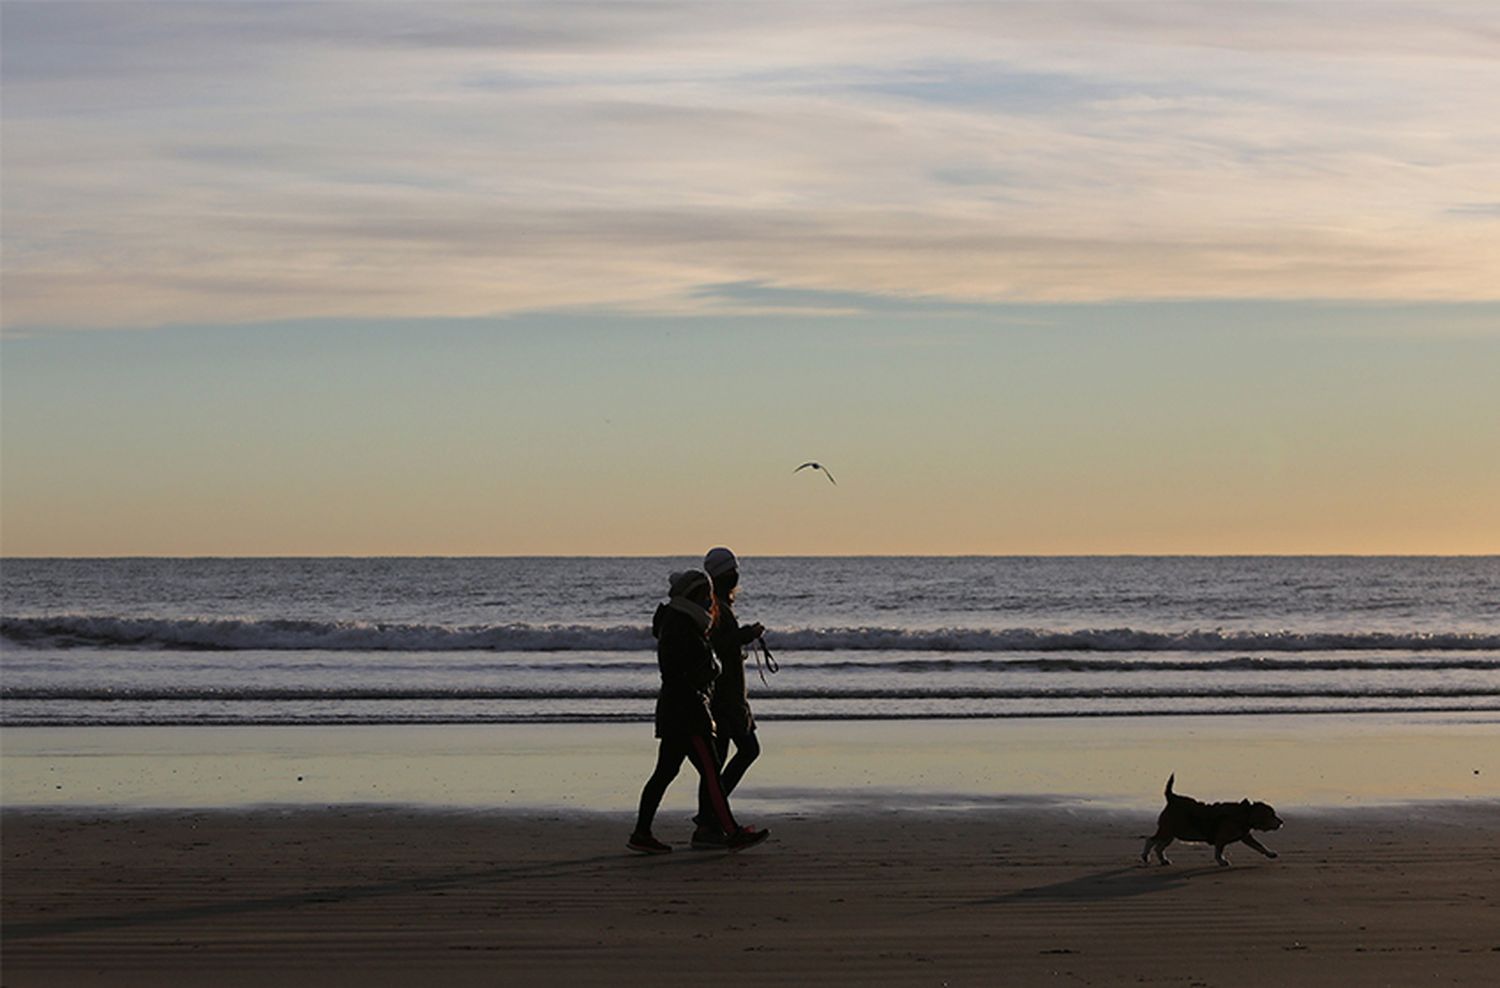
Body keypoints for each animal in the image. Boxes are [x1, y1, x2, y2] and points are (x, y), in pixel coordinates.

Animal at [1140, 773, 1284, 863]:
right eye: (1272, 815)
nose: (1282, 822)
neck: (1245, 813)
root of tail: (1172, 798)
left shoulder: (1246, 837)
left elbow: (1259, 846)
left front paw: (1270, 853)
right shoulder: (1221, 838)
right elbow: (1219, 851)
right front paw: (1222, 861)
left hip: (1172, 834)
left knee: (1159, 847)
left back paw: (1163, 860)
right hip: (1167, 831)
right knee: (1151, 840)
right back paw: (1145, 856)